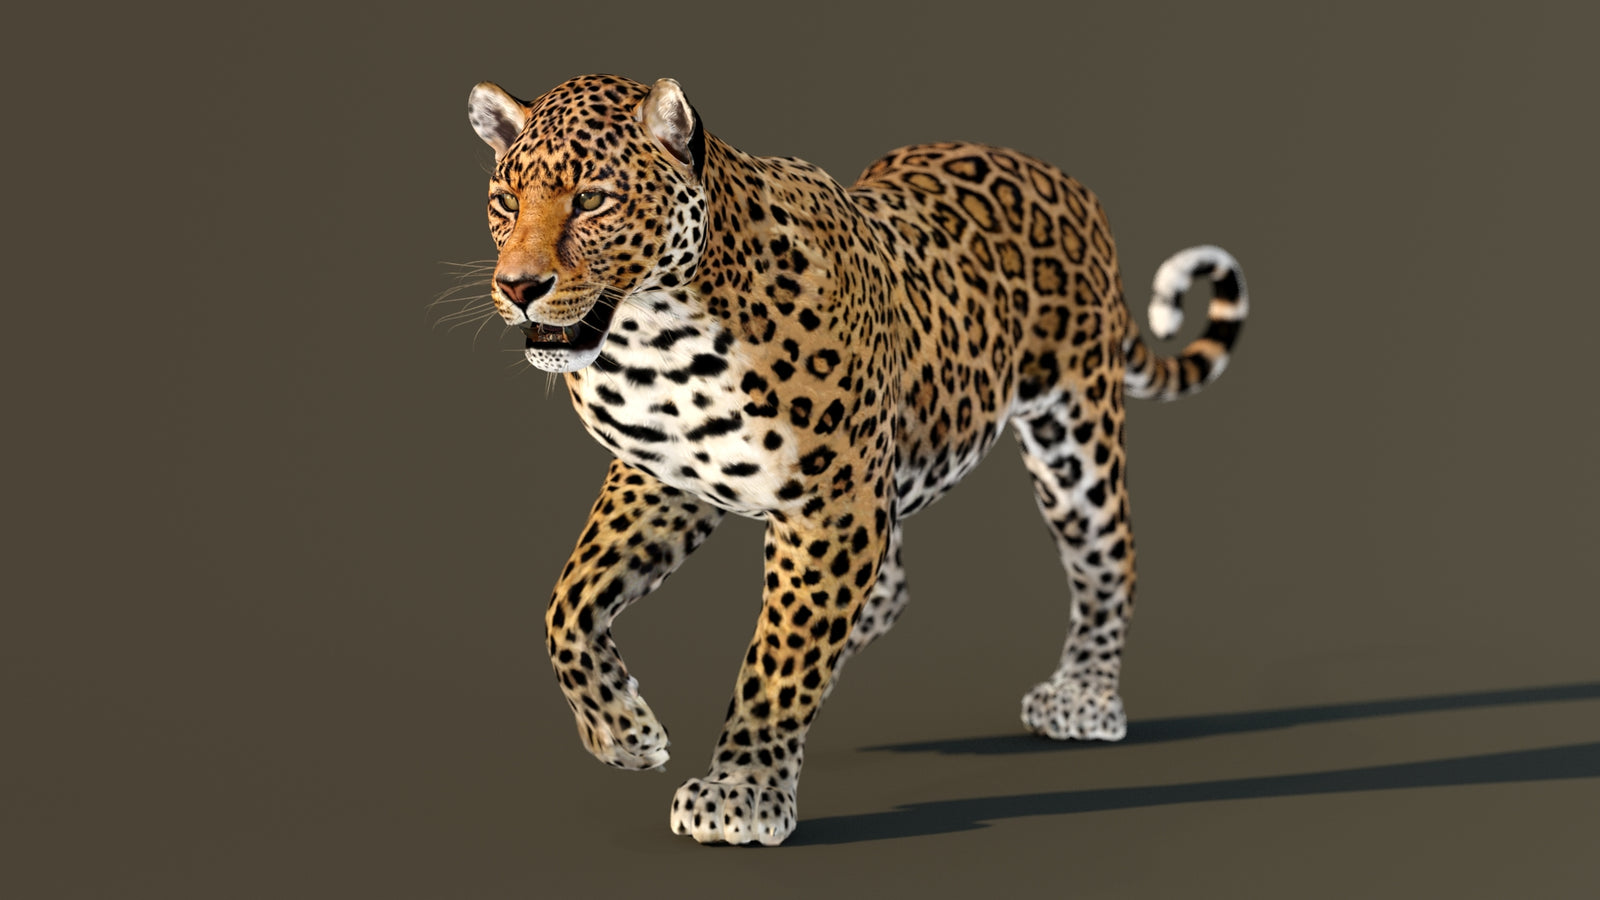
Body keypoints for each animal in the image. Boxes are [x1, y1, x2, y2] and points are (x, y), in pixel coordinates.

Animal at [463, 73, 1249, 846]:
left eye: (592, 199)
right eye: (506, 203)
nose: (518, 287)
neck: (655, 340)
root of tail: (1065, 179)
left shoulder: (831, 503)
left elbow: (779, 658)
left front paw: (742, 790)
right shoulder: (661, 477)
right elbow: (568, 604)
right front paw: (623, 735)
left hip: (1074, 434)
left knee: (1109, 559)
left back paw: (1084, 696)